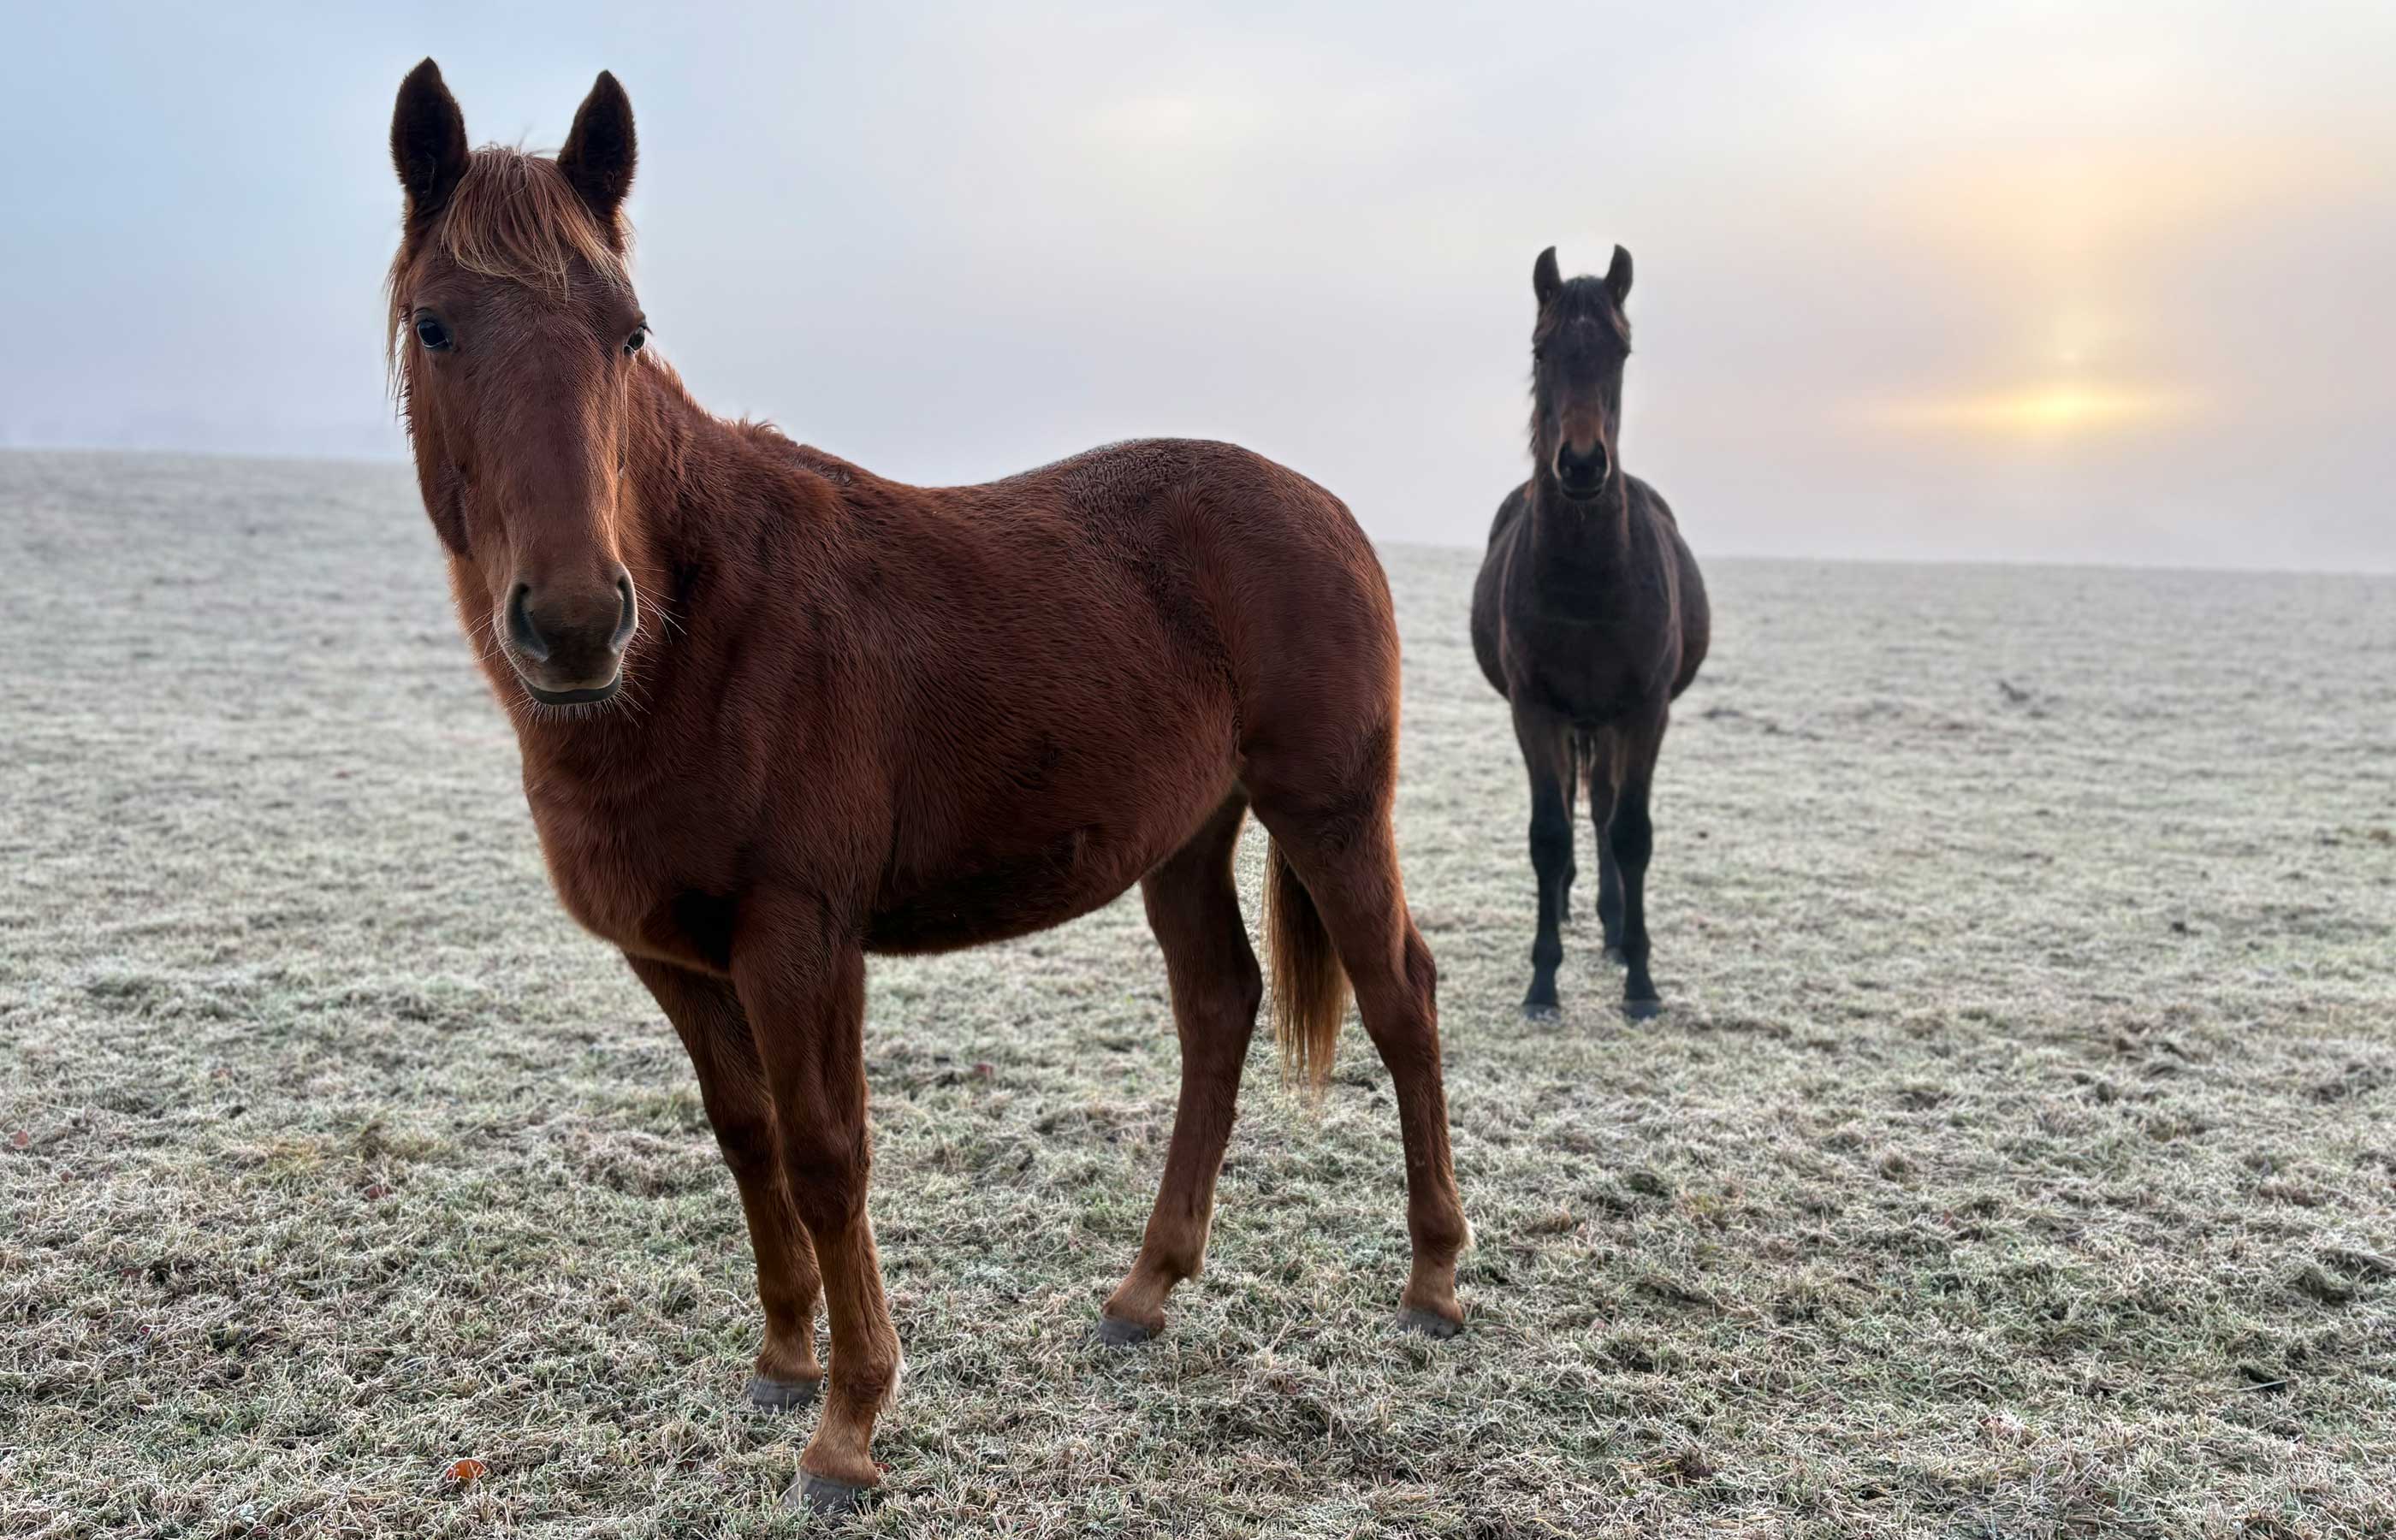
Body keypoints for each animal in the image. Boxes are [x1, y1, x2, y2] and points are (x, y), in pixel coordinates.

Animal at [384, 61, 1467, 1514]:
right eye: (436, 324)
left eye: (627, 332)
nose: (572, 624)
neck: (704, 627)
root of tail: (1330, 510)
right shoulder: (673, 956)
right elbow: (745, 1135)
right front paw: (784, 1359)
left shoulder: (801, 940)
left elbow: (826, 1152)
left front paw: (848, 1427)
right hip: (1186, 839)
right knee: (1219, 1009)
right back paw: (1145, 1291)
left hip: (1330, 813)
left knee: (1400, 998)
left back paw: (1433, 1280)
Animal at [1469, 246, 1709, 1021]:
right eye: (1541, 350)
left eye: (1621, 351)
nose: (1579, 464)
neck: (1586, 581)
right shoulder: (1535, 708)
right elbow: (1547, 835)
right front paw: (1543, 982)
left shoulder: (1645, 709)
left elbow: (1631, 833)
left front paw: (1641, 980)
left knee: (1603, 809)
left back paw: (1609, 923)